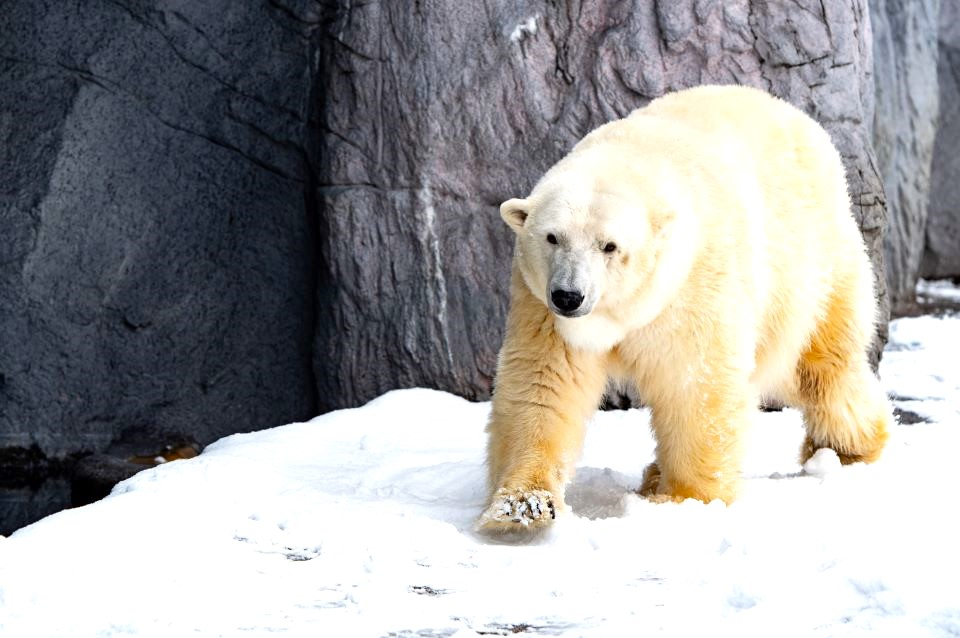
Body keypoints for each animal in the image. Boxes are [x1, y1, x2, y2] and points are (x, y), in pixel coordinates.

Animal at [478, 84, 891, 531]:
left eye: (610, 246)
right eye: (552, 237)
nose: (569, 296)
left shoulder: (693, 286)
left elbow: (695, 386)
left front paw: (684, 499)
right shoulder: (540, 306)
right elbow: (543, 385)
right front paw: (522, 506)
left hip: (811, 265)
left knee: (820, 364)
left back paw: (846, 446)